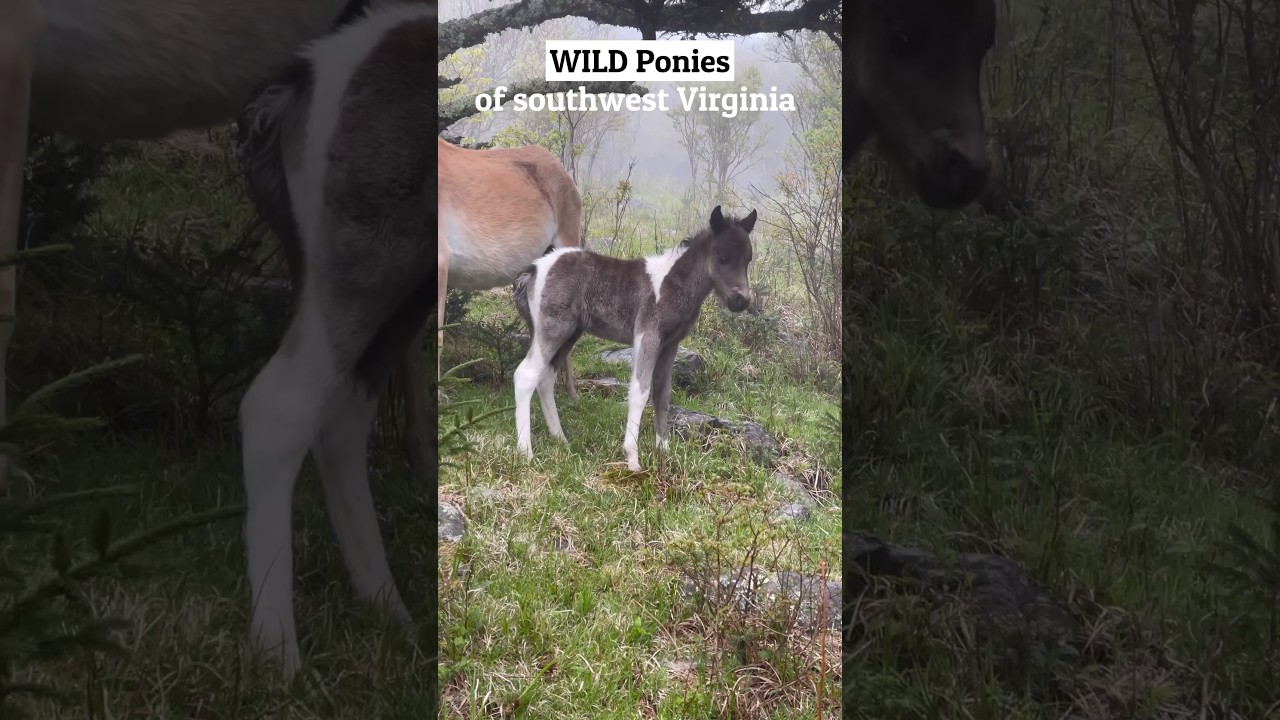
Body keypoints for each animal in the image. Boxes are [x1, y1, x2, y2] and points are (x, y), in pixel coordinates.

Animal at [512, 205, 756, 472]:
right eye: (722, 257)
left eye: (748, 259)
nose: (741, 300)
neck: (671, 284)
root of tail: (533, 271)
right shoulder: (647, 335)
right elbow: (640, 391)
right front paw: (633, 459)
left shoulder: (670, 344)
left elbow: (662, 393)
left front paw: (663, 452)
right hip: (553, 328)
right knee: (526, 375)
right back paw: (526, 453)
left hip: (569, 334)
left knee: (546, 377)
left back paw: (560, 439)